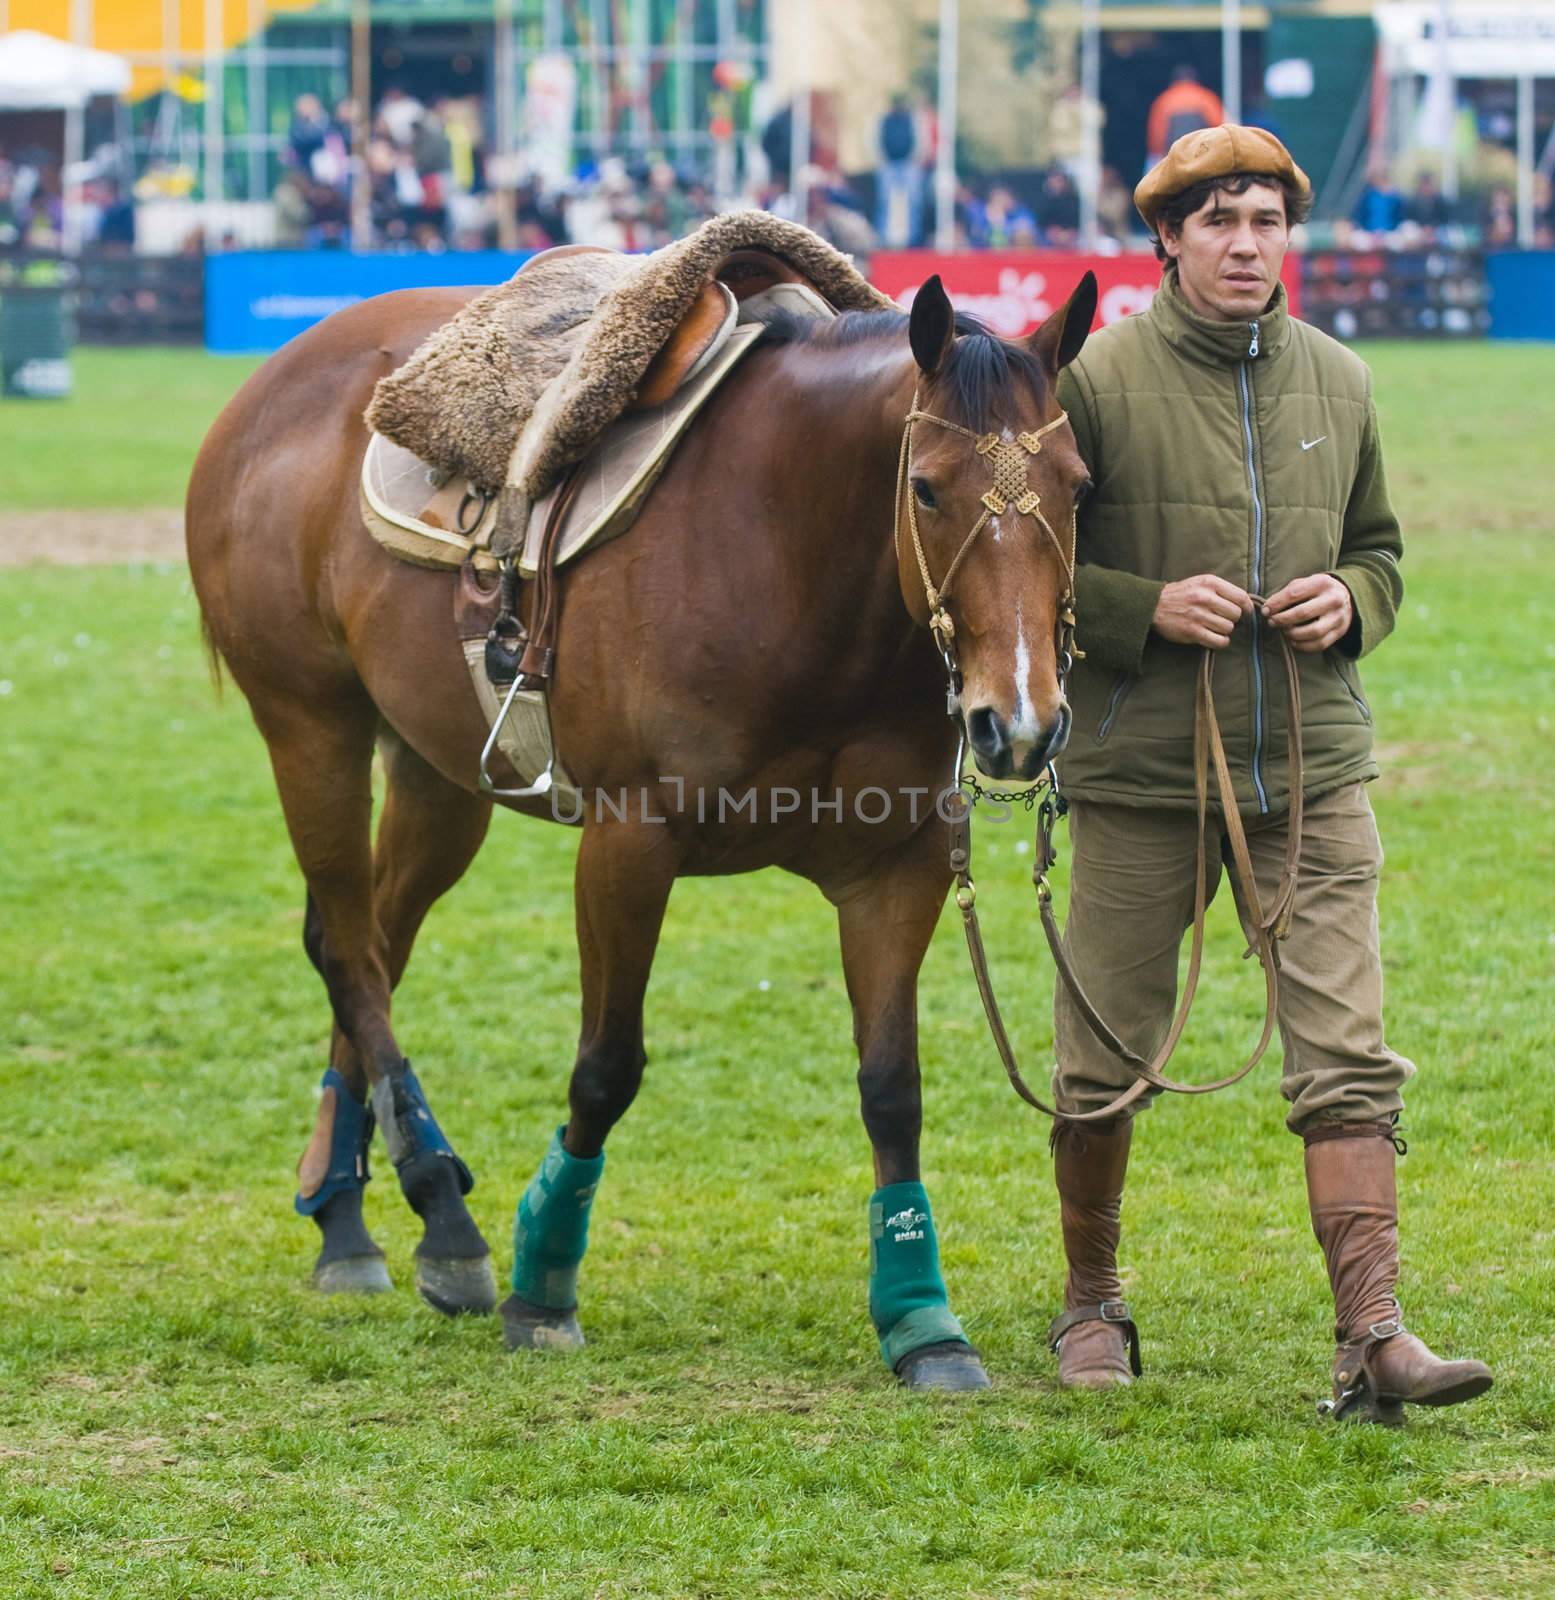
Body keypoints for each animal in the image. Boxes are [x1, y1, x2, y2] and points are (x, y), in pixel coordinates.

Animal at [187, 265, 1100, 1388]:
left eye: (1078, 485)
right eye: (926, 487)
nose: (1019, 721)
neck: (791, 561)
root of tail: (267, 389)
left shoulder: (899, 866)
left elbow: (893, 1088)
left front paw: (922, 1320)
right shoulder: (627, 847)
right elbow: (606, 1067)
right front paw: (542, 1280)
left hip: (438, 773)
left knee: (366, 940)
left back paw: (344, 1212)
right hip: (309, 726)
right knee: (352, 954)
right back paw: (442, 1215)